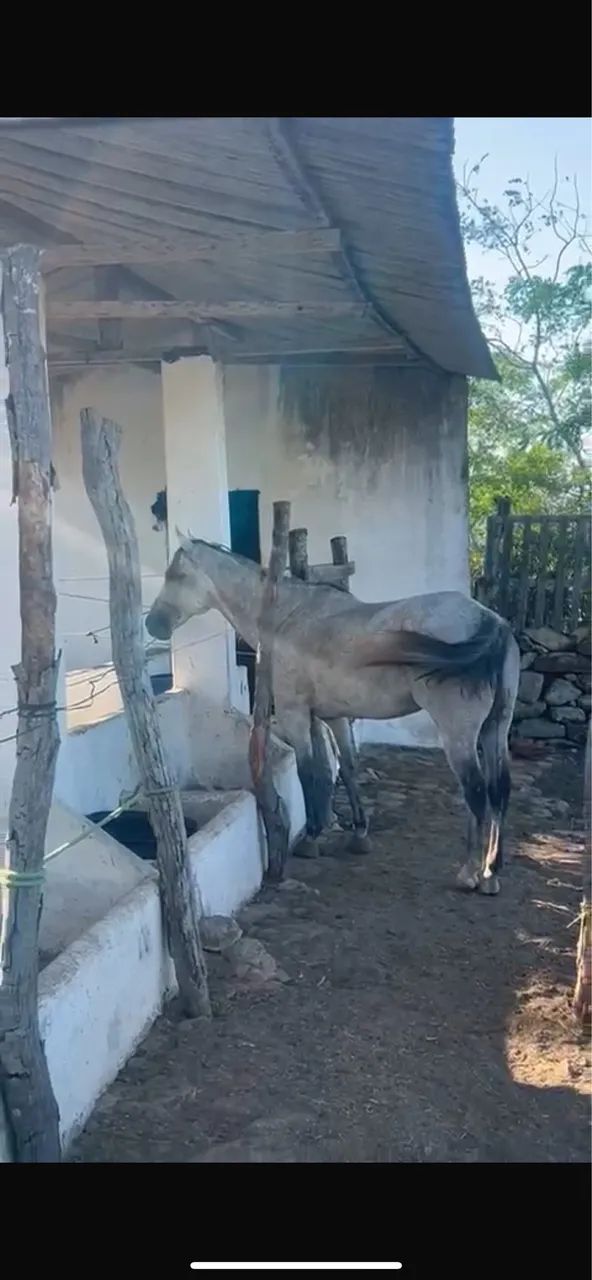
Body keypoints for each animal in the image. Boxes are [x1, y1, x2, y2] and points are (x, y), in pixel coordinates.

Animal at [146, 536, 520, 895]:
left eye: (176, 575)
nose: (153, 623)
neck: (286, 619)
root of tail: (491, 621)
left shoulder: (296, 714)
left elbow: (310, 772)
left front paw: (312, 837)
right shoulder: (332, 717)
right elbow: (346, 768)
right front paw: (359, 833)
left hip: (459, 734)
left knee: (477, 793)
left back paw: (471, 873)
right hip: (495, 729)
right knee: (499, 790)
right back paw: (491, 871)